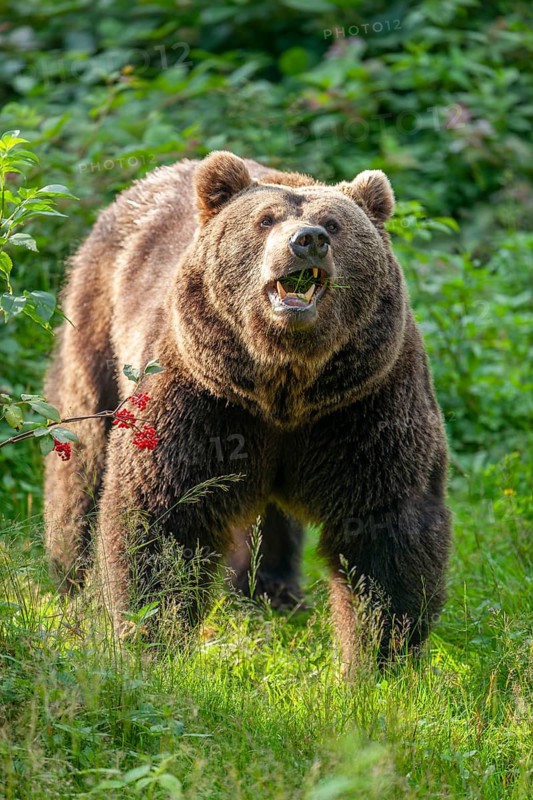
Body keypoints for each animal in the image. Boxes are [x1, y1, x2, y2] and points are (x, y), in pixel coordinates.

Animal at [44, 150, 451, 666]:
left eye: (334, 224)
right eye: (266, 220)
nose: (307, 241)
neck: (283, 384)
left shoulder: (364, 403)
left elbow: (385, 525)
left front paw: (379, 654)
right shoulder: (201, 399)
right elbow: (163, 511)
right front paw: (150, 635)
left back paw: (271, 591)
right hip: (97, 318)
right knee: (83, 449)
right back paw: (68, 576)